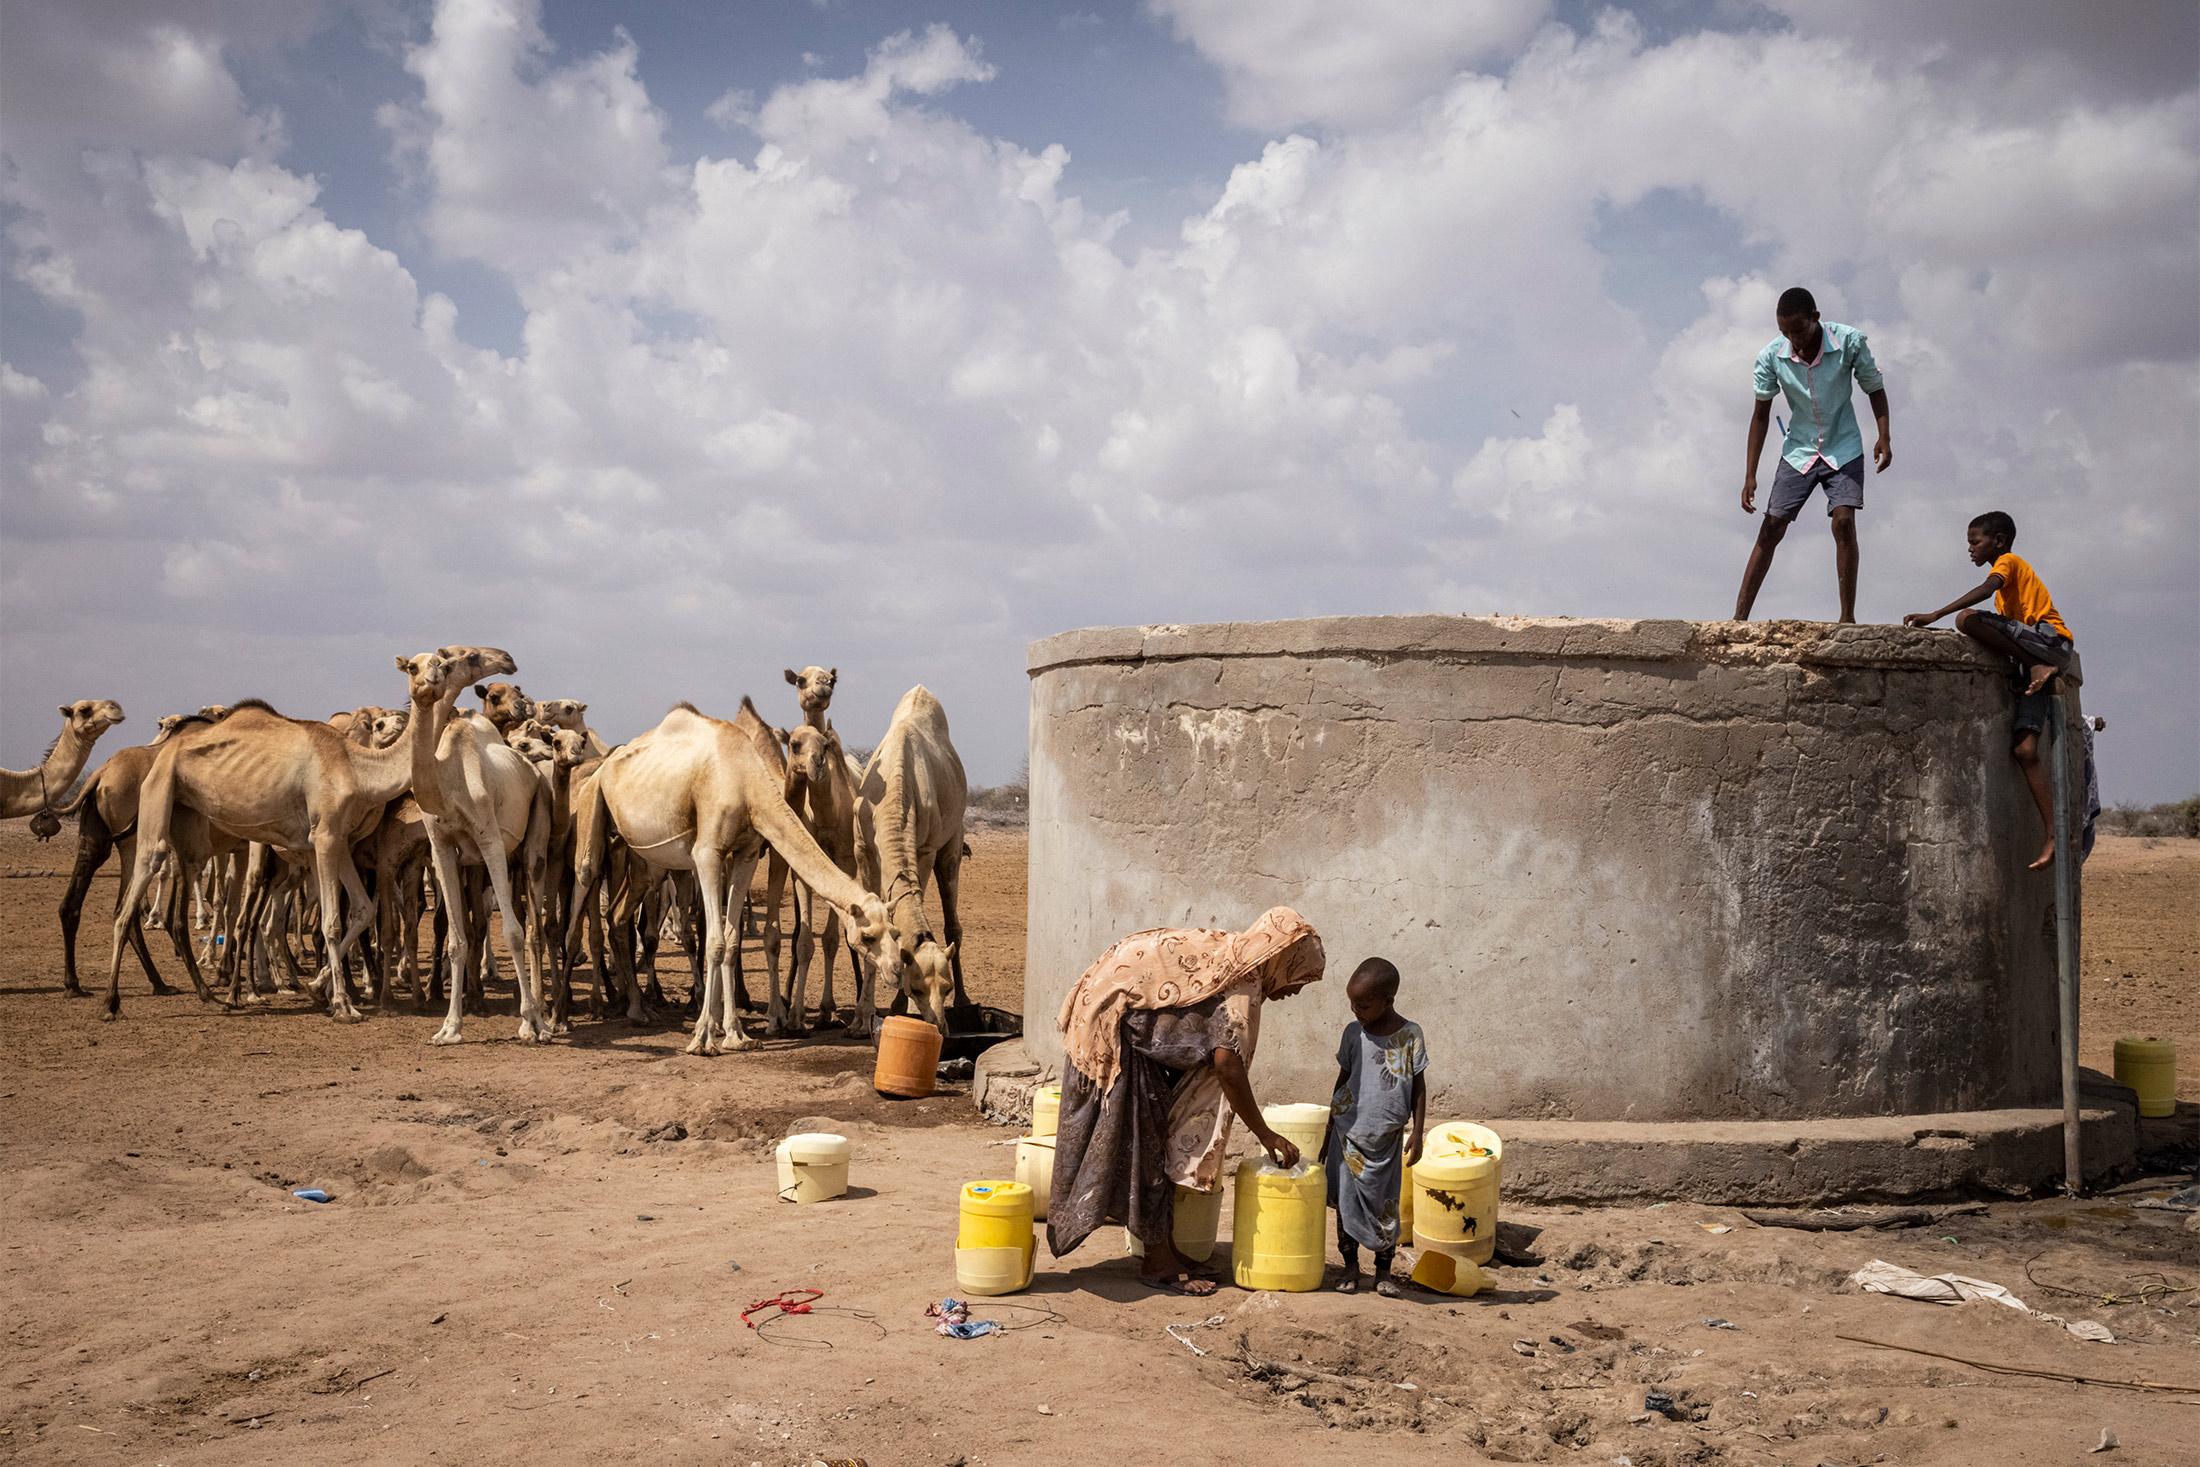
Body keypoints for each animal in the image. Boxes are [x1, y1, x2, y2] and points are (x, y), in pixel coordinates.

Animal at [107, 642, 514, 1020]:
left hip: (189, 823)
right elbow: (332, 922)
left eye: (442, 663)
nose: (507, 658)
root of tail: (163, 750)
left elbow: (362, 910)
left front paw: (322, 989)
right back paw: (118, 1002)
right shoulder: (326, 836)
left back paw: (211, 994)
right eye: (418, 666)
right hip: (162, 791)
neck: (361, 768)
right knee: (139, 892)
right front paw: (343, 1004)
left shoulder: (340, 841)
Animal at [576, 699, 910, 1055]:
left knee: (617, 916)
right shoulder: (708, 853)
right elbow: (715, 941)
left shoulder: (746, 853)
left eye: (894, 931)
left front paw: (736, 1034)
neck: (747, 783)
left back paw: (638, 1010)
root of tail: (604, 765)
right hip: (594, 814)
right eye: (867, 937)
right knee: (582, 883)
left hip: (642, 861)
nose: (895, 969)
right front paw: (703, 1038)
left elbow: (732, 939)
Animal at [849, 686, 972, 1033]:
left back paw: (966, 1003)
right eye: (916, 987)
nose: (940, 1027)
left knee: (952, 924)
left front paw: (896, 1006)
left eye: (945, 987)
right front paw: (860, 1017)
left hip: (952, 844)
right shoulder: (863, 849)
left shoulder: (925, 849)